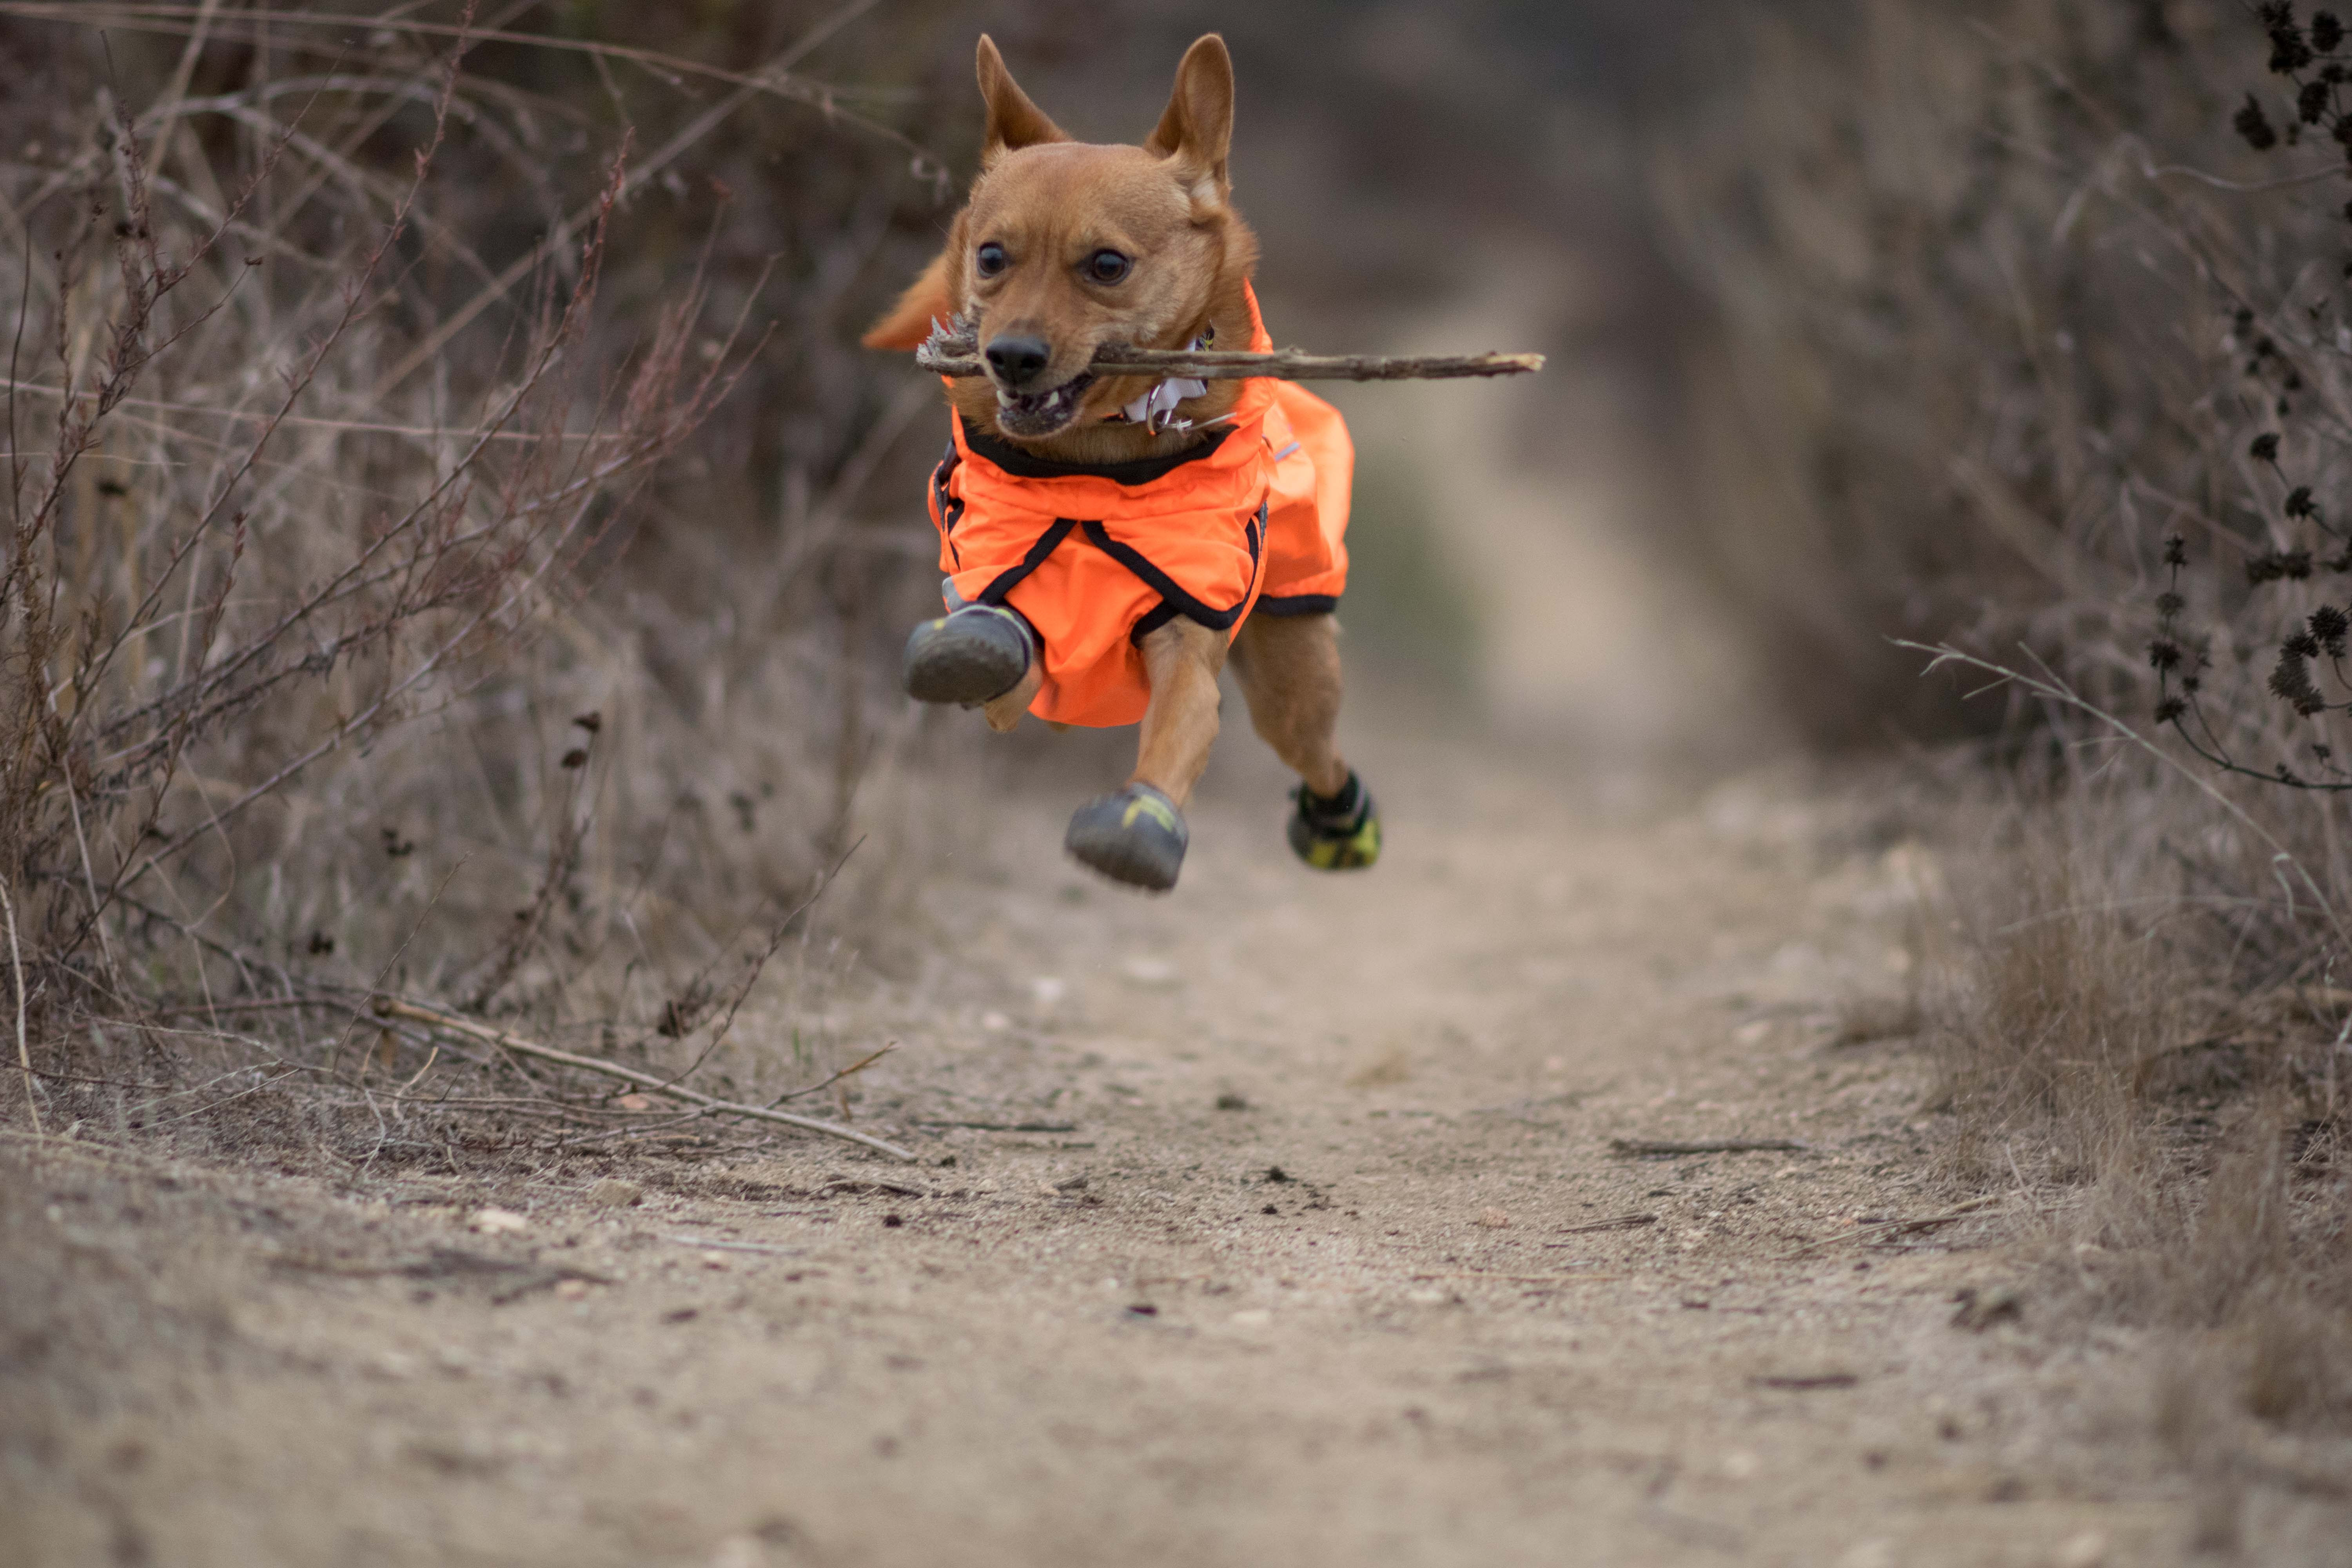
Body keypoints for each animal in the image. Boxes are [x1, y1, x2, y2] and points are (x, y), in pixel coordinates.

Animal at [866, 36, 1374, 888]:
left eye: (1107, 265)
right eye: (993, 256)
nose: (1011, 356)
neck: (1093, 467)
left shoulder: (1187, 638)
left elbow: (1174, 732)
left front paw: (1140, 821)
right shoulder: (995, 610)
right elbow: (1004, 650)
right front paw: (980, 650)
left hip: (1293, 684)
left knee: (1318, 751)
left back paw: (1341, 827)